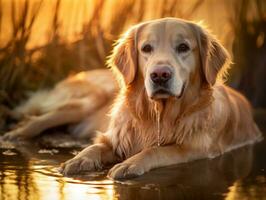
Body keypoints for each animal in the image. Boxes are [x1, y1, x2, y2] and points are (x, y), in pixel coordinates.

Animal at [3, 17, 262, 180]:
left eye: (183, 47)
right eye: (146, 48)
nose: (160, 75)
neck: (159, 115)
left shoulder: (195, 148)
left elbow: (155, 151)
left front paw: (129, 164)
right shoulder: (115, 137)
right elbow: (94, 146)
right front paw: (78, 160)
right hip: (87, 100)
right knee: (37, 119)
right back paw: (14, 134)